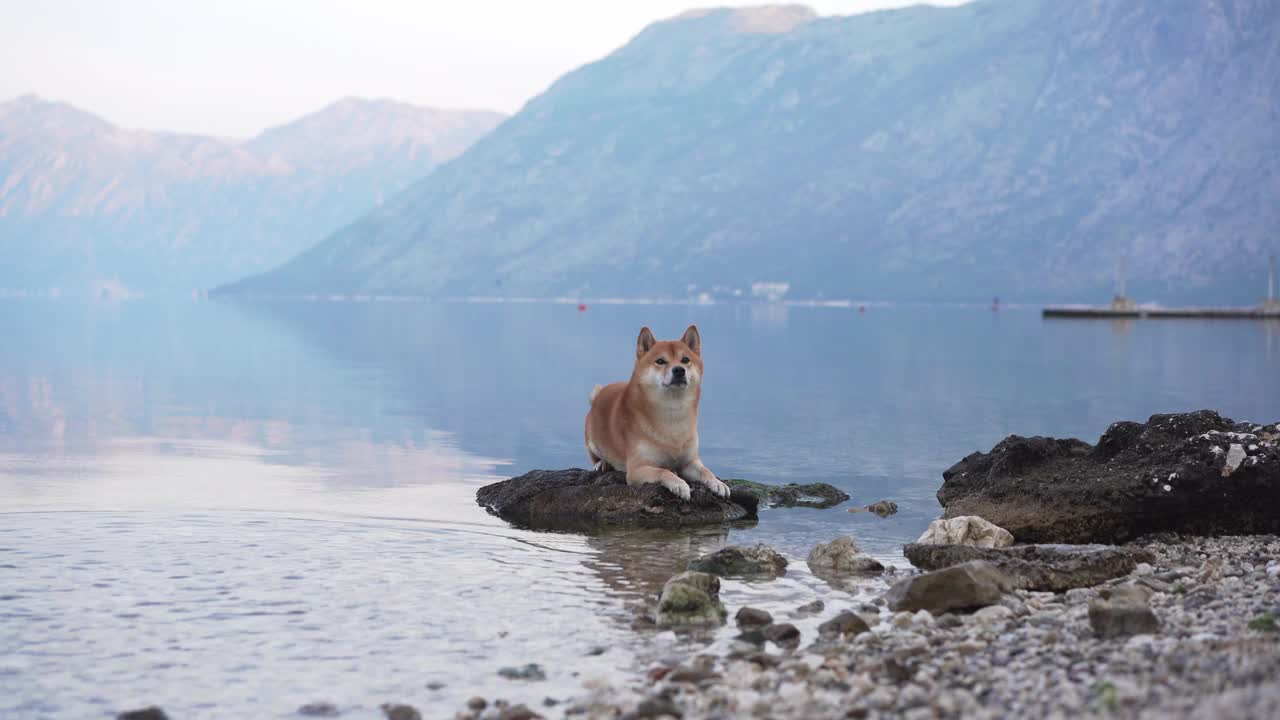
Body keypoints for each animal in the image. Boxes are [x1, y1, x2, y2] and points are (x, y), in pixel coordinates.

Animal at [583, 325, 732, 499]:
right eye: (660, 361)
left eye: (685, 360)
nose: (679, 370)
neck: (672, 413)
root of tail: (600, 392)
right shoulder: (637, 469)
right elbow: (663, 471)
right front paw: (679, 484)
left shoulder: (690, 462)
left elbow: (705, 471)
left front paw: (717, 483)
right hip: (592, 440)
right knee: (596, 456)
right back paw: (602, 463)